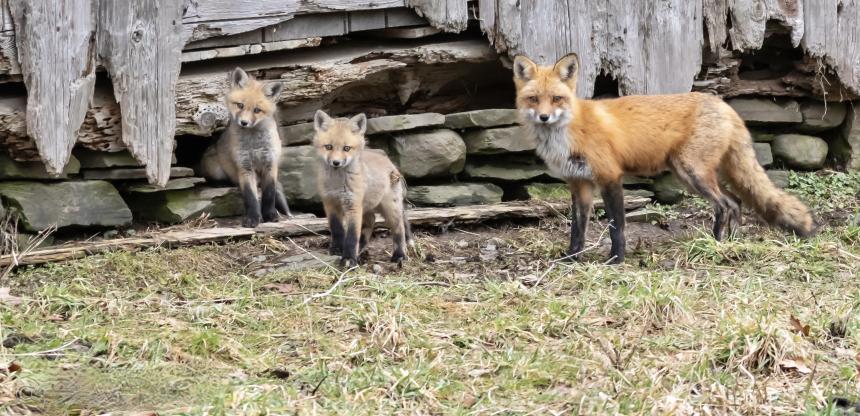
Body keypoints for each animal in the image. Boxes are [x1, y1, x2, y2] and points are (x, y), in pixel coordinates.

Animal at [512, 52, 816, 264]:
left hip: (692, 172)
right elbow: (577, 228)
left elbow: (616, 226)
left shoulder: (610, 177)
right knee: (736, 201)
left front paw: (615, 260)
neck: (570, 131)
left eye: (557, 98)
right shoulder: (579, 184)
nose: (544, 117)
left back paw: (714, 243)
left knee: (724, 205)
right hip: (689, 175)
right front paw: (571, 258)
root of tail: (723, 105)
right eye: (534, 99)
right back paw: (731, 242)